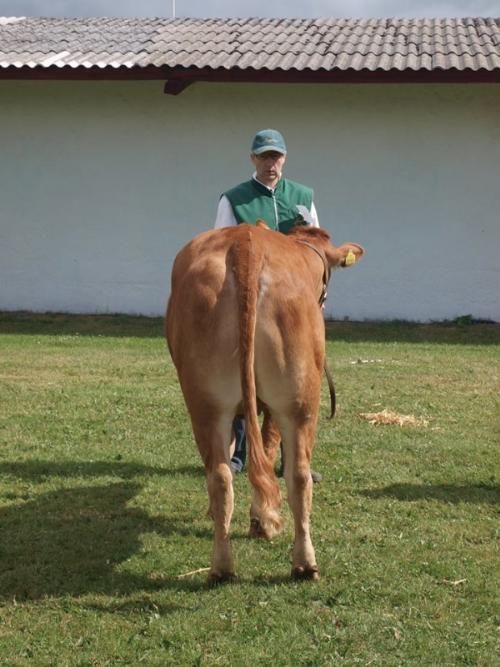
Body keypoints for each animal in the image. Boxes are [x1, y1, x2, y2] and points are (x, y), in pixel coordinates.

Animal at [166, 222, 362, 580]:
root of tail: (247, 244)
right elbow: (268, 447)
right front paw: (262, 519)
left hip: (210, 402)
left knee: (226, 475)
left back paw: (231, 565)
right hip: (297, 399)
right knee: (293, 473)